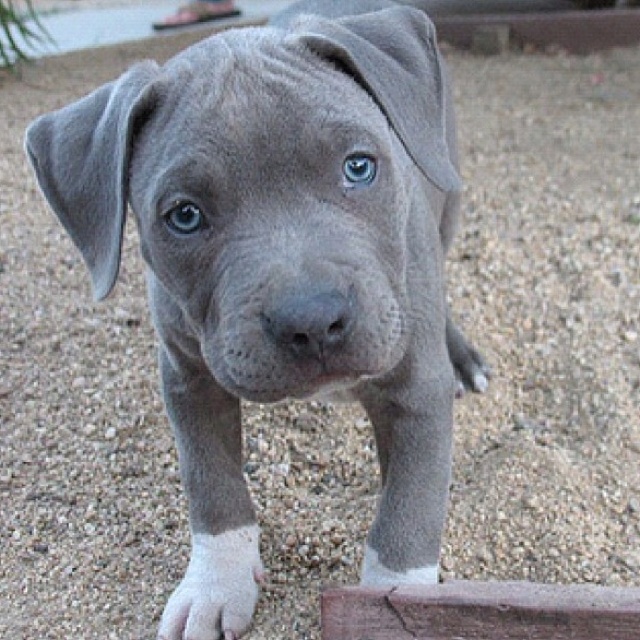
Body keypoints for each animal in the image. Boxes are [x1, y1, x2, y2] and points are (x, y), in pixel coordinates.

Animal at [23, 1, 484, 640]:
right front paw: (217, 586)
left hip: (446, 196)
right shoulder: (188, 379)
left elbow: (406, 519)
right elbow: (212, 486)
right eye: (184, 215)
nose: (313, 320)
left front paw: (395, 605)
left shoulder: (416, 387)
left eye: (359, 167)